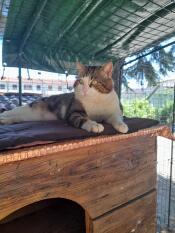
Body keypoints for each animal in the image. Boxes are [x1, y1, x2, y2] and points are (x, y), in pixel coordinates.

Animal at [0, 62, 129, 134]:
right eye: (81, 82)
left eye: (94, 83)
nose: (85, 90)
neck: (96, 101)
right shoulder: (73, 112)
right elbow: (83, 119)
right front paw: (94, 125)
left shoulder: (115, 111)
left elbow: (116, 118)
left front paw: (122, 125)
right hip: (28, 108)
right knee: (12, 111)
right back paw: (4, 116)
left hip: (30, 116)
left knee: (18, 117)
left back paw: (6, 120)